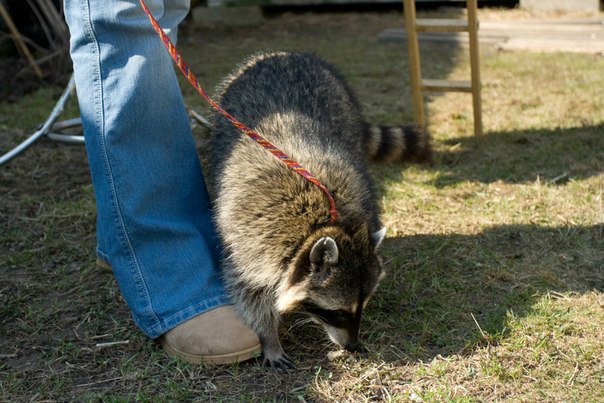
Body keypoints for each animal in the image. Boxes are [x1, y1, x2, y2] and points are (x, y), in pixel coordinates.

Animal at [201, 49, 432, 370]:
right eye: (337, 312)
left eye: (362, 306)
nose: (353, 346)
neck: (323, 221)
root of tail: (283, 53)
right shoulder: (248, 241)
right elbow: (249, 290)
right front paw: (269, 336)